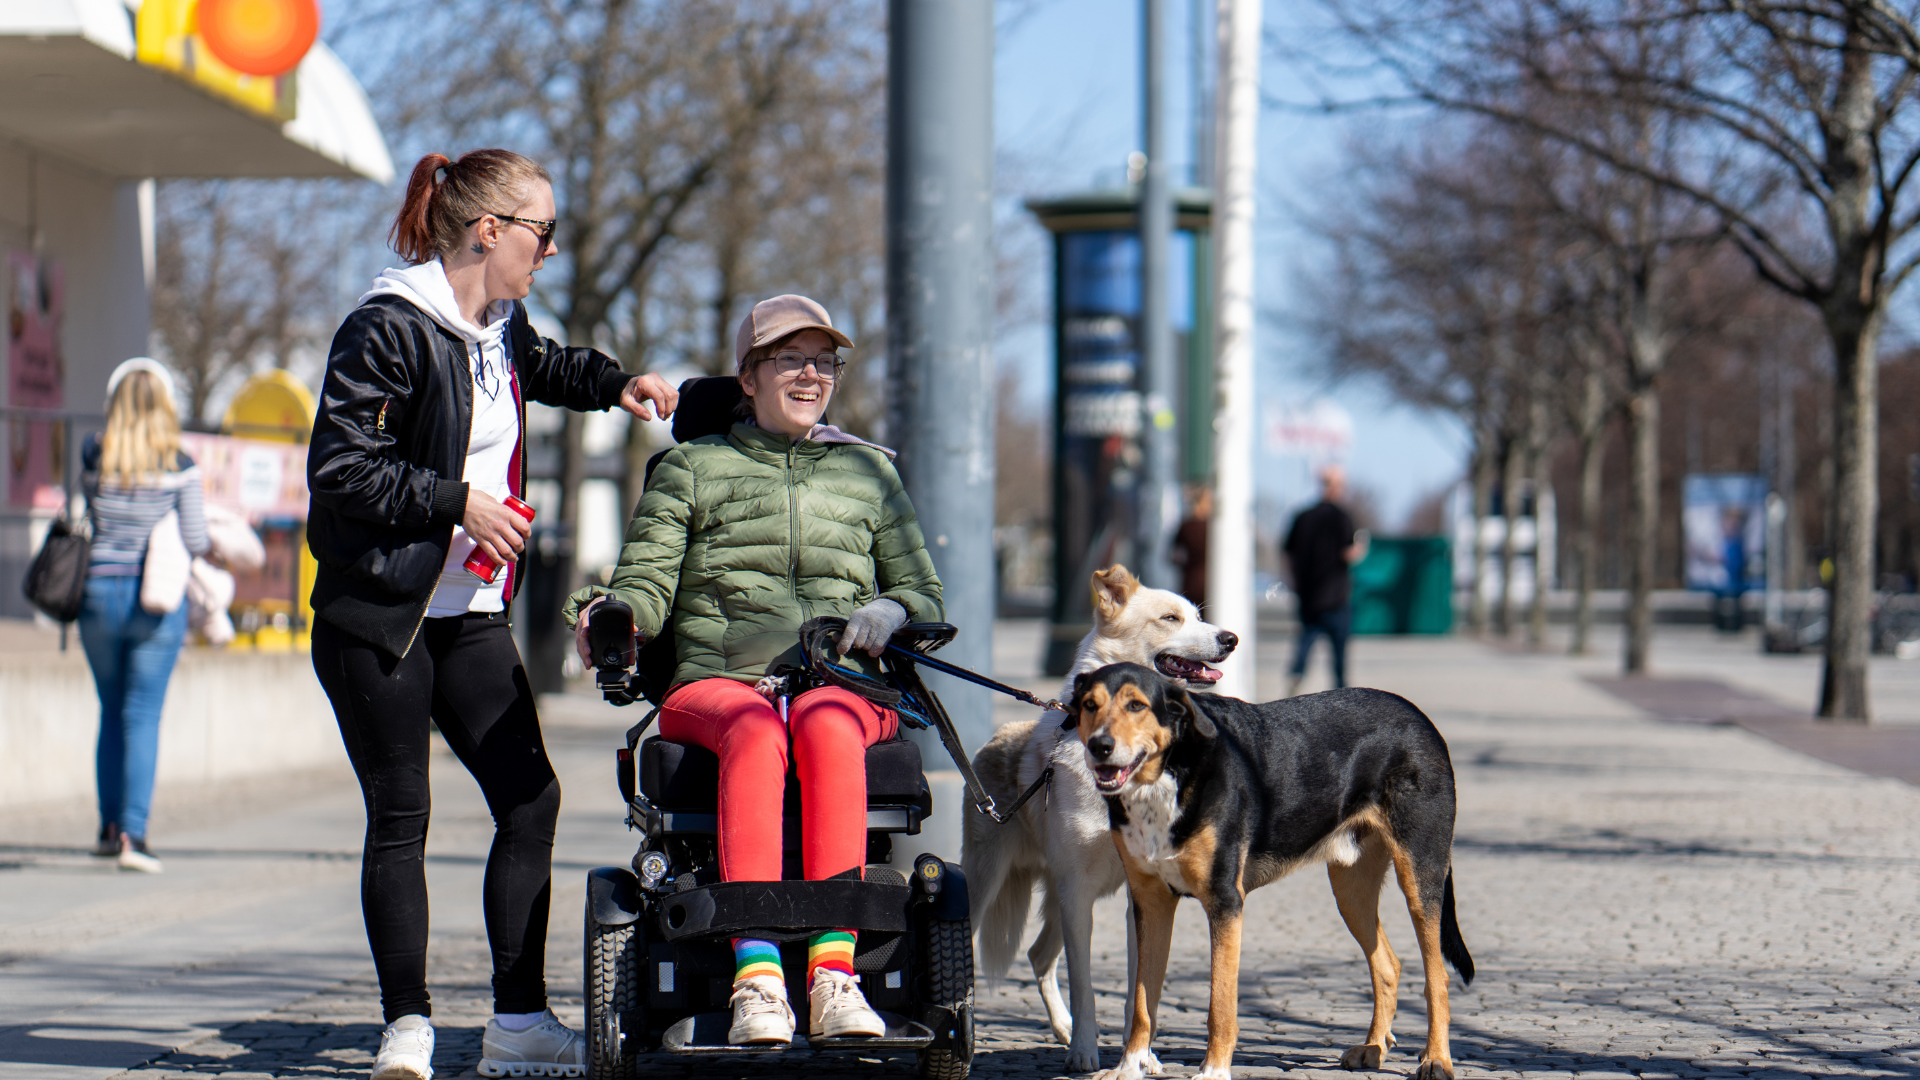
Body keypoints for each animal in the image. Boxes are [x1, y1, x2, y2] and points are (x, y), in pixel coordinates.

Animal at [956, 564, 1228, 1068]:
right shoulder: (1079, 891)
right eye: (1171, 618)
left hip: (1057, 896)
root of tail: (998, 735)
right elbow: (1084, 984)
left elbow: (1140, 989)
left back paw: (1061, 1029)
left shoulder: (1142, 893)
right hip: (991, 882)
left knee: (1040, 955)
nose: (1231, 638)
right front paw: (1086, 1053)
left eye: (1199, 616)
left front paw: (1139, 1057)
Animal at [1075, 661, 1474, 1068]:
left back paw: (1437, 1060)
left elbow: (1220, 1004)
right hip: (1351, 892)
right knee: (1388, 966)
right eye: (1090, 705)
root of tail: (1419, 717)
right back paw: (1373, 1047)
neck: (1169, 776)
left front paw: (1213, 1070)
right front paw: (1129, 1067)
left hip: (1420, 877)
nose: (1100, 746)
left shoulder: (1225, 902)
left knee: (1437, 978)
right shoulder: (1151, 901)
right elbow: (1143, 1000)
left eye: (1136, 706)